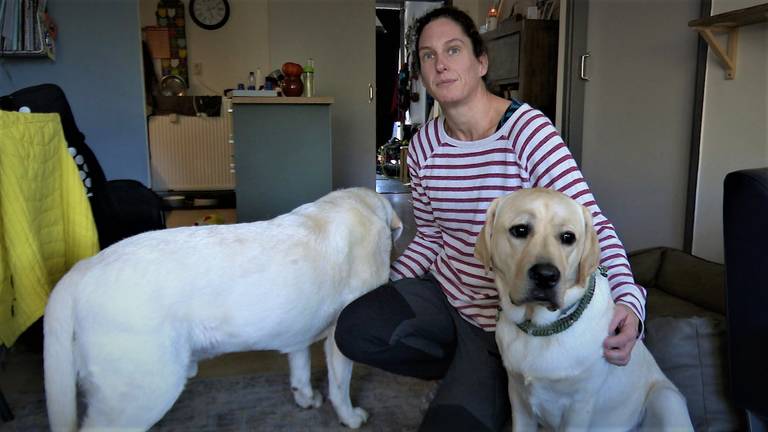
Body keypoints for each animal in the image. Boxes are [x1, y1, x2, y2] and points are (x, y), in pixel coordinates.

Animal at [43, 188, 402, 432]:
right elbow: (340, 386)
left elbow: (299, 366)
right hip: (143, 391)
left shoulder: (296, 329)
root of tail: (83, 269)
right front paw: (350, 417)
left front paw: (305, 397)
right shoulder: (341, 335)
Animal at [472, 190, 692, 432]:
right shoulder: (518, 398)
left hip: (667, 399)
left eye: (568, 237)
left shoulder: (579, 406)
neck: (540, 327)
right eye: (520, 230)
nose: (546, 276)